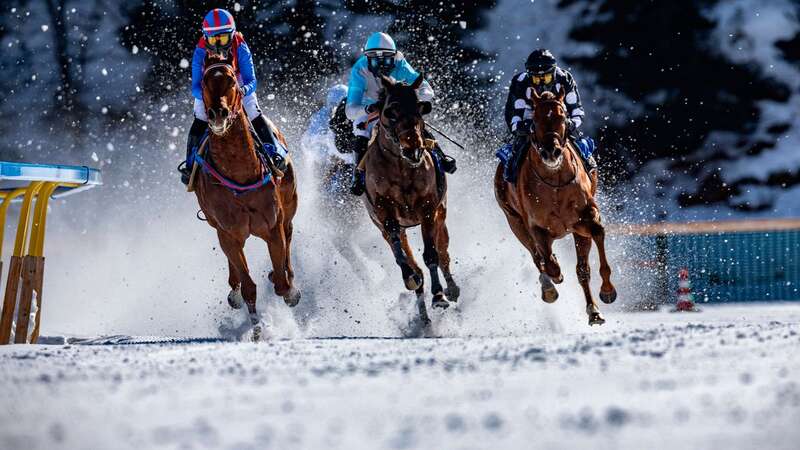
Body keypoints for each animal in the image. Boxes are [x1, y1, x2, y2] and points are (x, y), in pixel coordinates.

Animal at [192, 53, 302, 338]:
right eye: (204, 81)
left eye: (232, 79)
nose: (217, 113)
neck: (240, 173)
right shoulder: (229, 231)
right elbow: (248, 283)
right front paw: (257, 329)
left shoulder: (272, 225)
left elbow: (282, 281)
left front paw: (288, 288)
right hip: (218, 226)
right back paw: (235, 292)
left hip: (289, 205)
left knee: (289, 234)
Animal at [360, 75, 460, 326]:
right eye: (390, 111)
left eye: (419, 108)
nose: (413, 149)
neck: (401, 168)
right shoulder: (385, 216)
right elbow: (402, 258)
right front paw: (411, 277)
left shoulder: (428, 210)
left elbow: (432, 254)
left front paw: (439, 296)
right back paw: (423, 315)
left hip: (441, 215)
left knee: (443, 254)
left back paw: (451, 289)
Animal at [494, 89, 620, 326]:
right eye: (534, 120)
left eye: (563, 118)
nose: (551, 152)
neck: (554, 183)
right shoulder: (536, 227)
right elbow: (548, 262)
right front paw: (555, 277)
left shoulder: (584, 219)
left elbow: (598, 233)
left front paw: (607, 291)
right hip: (515, 222)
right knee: (537, 256)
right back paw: (549, 287)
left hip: (575, 231)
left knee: (581, 269)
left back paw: (593, 310)